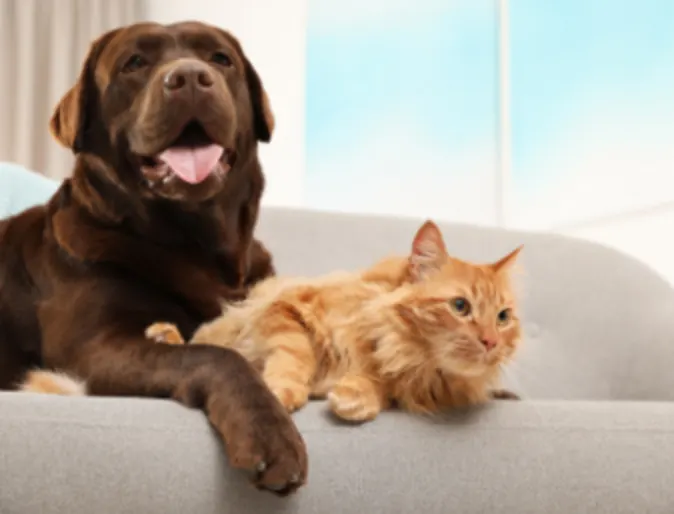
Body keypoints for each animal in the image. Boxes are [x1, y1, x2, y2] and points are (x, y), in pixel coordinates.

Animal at [146, 220, 520, 420]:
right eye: (460, 306)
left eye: (503, 317)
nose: (492, 341)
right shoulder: (287, 307)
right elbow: (297, 355)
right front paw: (282, 391)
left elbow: (381, 390)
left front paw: (357, 397)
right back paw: (163, 335)